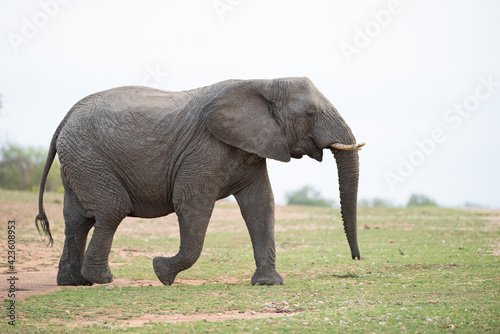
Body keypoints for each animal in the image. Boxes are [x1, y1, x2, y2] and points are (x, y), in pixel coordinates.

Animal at [35, 77, 364, 286]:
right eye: (310, 114)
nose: (357, 259)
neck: (265, 82)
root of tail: (65, 118)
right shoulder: (204, 149)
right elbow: (193, 203)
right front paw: (161, 272)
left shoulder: (251, 149)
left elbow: (261, 206)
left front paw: (269, 284)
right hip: (89, 157)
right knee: (111, 209)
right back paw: (101, 280)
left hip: (80, 160)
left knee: (77, 219)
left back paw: (73, 282)